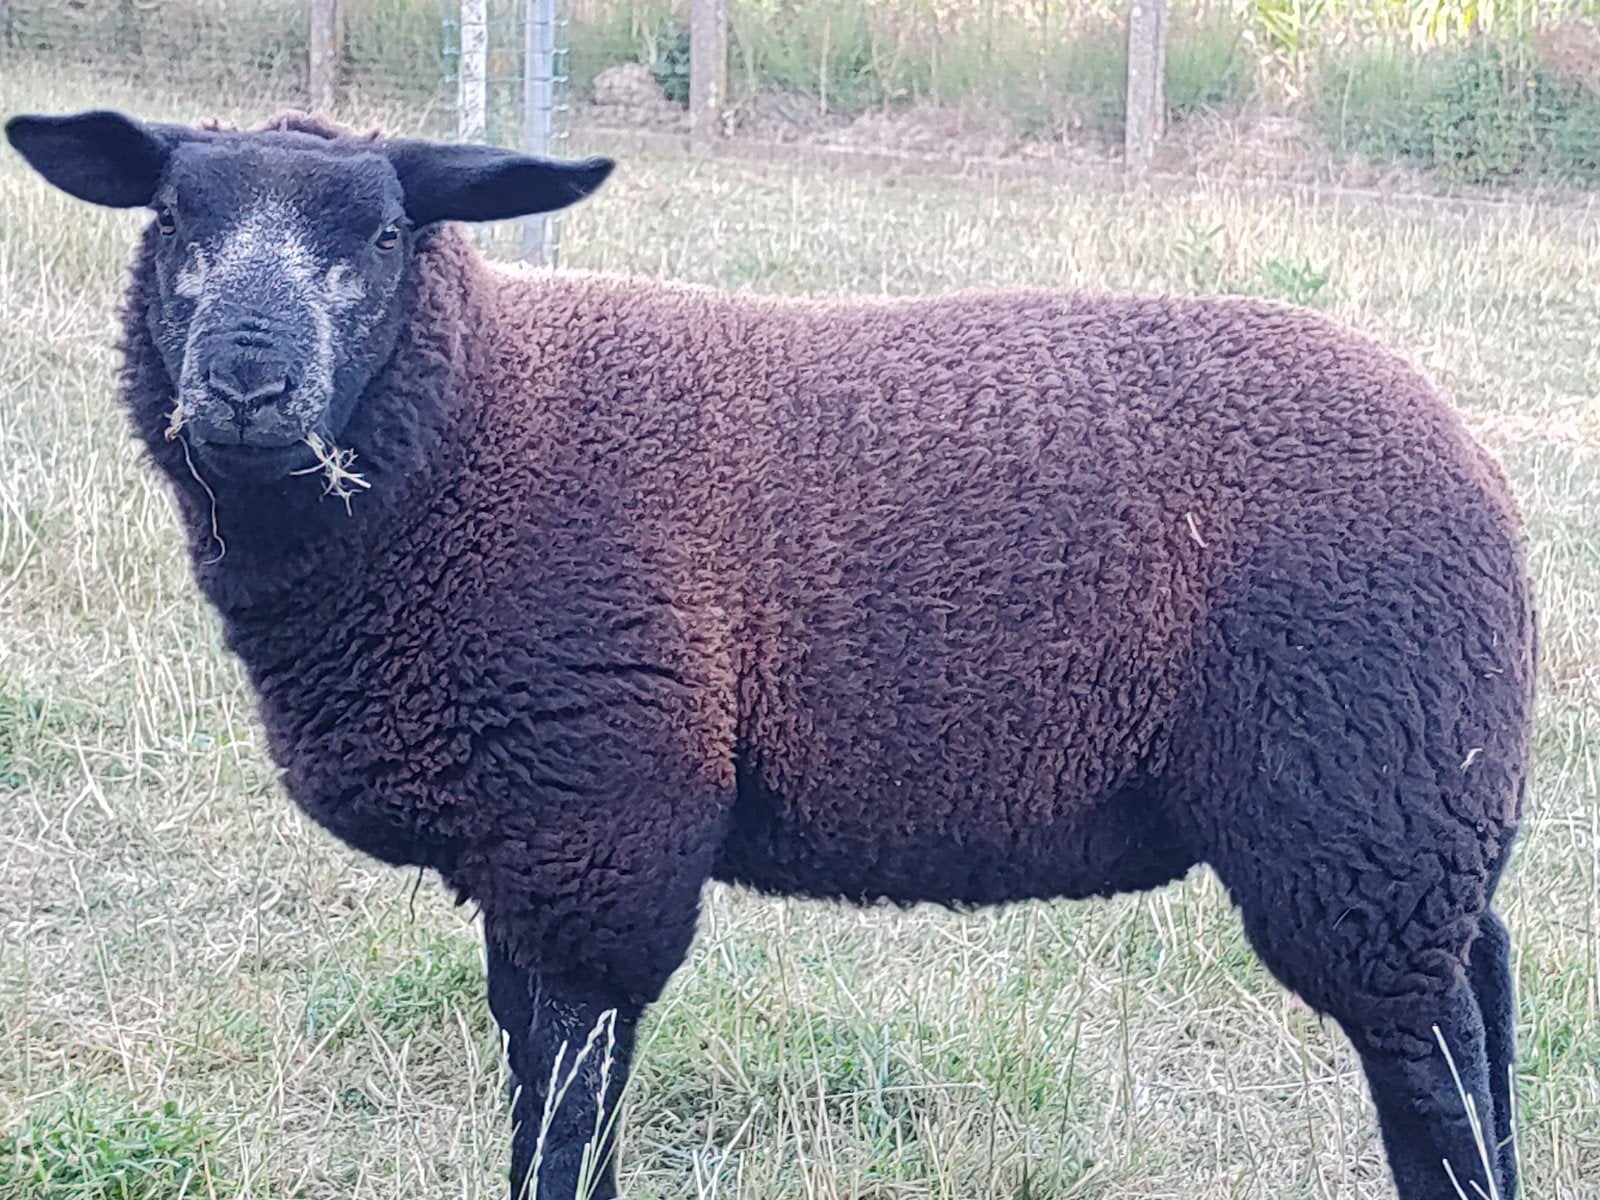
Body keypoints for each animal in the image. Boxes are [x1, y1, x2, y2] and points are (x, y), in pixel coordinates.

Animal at [5, 108, 1536, 1200]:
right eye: (172, 218)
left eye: (383, 236)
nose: (245, 388)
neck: (479, 441)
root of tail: (1467, 455)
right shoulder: (526, 844)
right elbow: (535, 1085)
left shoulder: (599, 832)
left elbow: (566, 1115)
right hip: (1416, 818)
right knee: (1485, 998)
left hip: (1359, 810)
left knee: (1435, 1062)